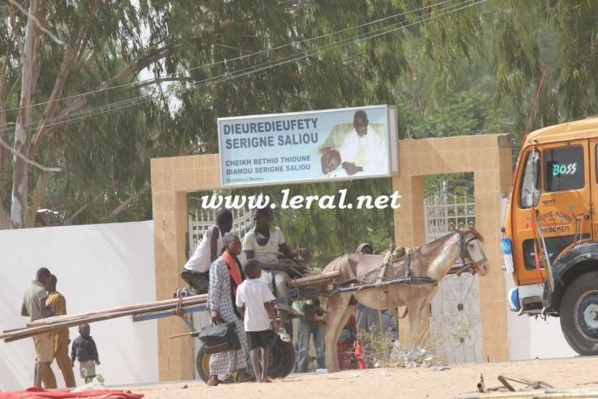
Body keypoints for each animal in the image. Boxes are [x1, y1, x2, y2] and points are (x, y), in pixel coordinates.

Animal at [324, 230, 492, 374]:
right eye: (471, 245)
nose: (486, 267)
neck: (425, 265)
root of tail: (330, 267)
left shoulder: (422, 306)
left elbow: (419, 331)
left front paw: (419, 357)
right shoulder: (413, 304)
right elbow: (412, 332)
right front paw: (411, 360)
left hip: (348, 305)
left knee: (336, 334)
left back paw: (335, 367)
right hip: (339, 302)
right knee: (329, 333)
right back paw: (331, 367)